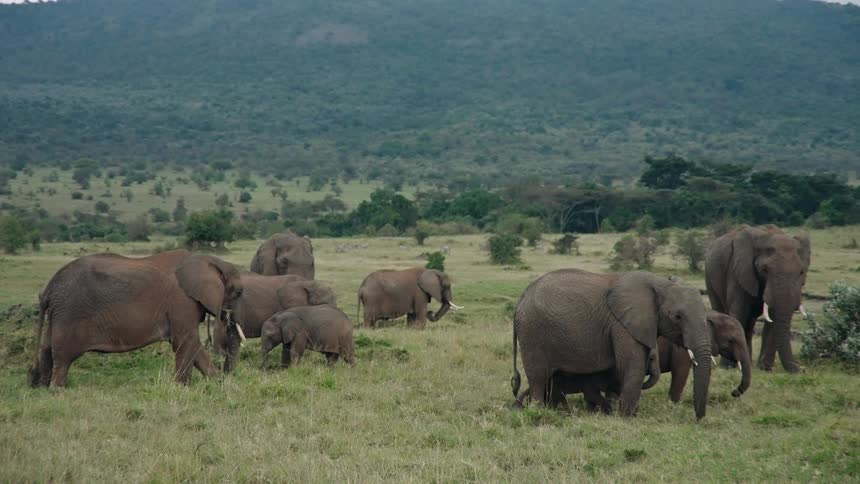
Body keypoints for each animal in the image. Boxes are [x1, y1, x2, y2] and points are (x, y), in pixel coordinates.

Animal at [29, 250, 242, 388]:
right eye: (239, 292)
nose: (228, 375)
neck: (206, 260)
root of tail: (48, 289)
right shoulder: (181, 301)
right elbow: (185, 341)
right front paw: (183, 388)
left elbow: (191, 345)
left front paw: (218, 384)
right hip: (69, 313)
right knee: (63, 356)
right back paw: (58, 391)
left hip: (58, 314)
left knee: (47, 349)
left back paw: (43, 390)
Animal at [512, 269, 712, 419]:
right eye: (677, 316)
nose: (698, 418)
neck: (660, 283)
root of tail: (522, 297)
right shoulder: (621, 325)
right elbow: (632, 366)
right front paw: (627, 417)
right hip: (533, 332)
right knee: (538, 376)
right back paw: (538, 411)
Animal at [705, 225, 810, 372]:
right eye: (765, 270)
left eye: (801, 272)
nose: (802, 369)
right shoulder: (738, 271)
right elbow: (739, 313)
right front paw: (730, 367)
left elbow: (772, 318)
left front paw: (765, 368)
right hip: (709, 277)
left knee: (750, 323)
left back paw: (747, 361)